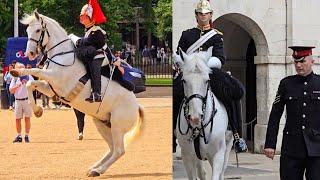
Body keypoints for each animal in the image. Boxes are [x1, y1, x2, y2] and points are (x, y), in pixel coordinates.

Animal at [10, 10, 144, 176]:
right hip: (102, 123)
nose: (29, 53)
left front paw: (17, 71)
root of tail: (136, 106)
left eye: (38, 30)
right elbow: (30, 84)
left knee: (119, 150)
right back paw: (94, 167)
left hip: (117, 127)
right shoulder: (50, 87)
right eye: (28, 30)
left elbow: (35, 71)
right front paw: (38, 110)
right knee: (112, 149)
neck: (62, 55)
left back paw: (98, 170)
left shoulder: (55, 77)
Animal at [174, 48, 234, 180]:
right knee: (202, 172)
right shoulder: (187, 156)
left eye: (207, 80)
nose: (195, 118)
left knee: (222, 172)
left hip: (228, 144)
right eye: (184, 80)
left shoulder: (218, 154)